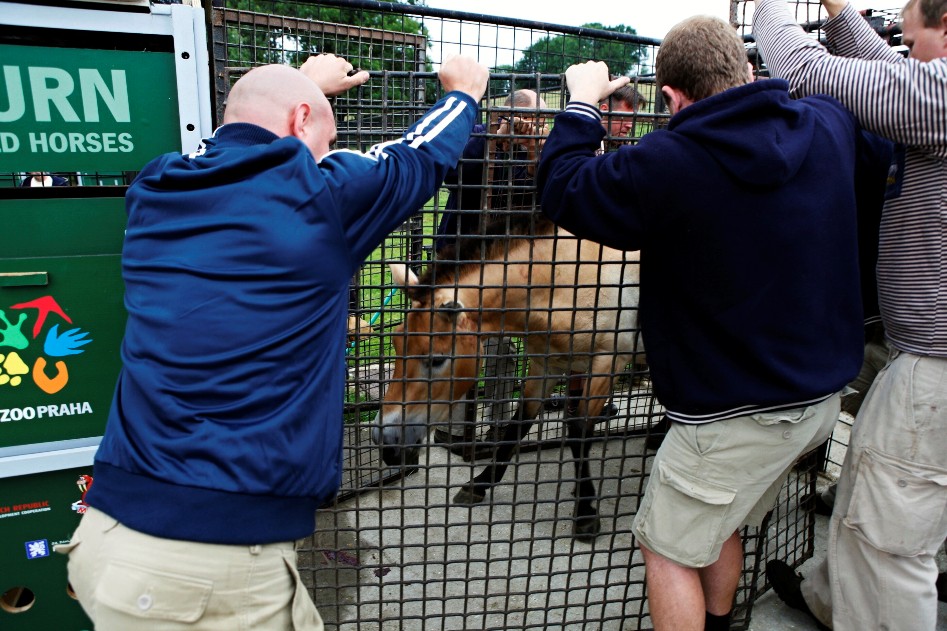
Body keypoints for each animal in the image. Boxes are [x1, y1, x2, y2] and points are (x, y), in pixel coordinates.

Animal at [370, 215, 644, 540]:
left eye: (436, 359)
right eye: (397, 342)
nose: (385, 440)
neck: (573, 279)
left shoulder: (606, 363)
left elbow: (578, 432)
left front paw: (586, 511)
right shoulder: (545, 365)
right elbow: (517, 426)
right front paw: (480, 484)